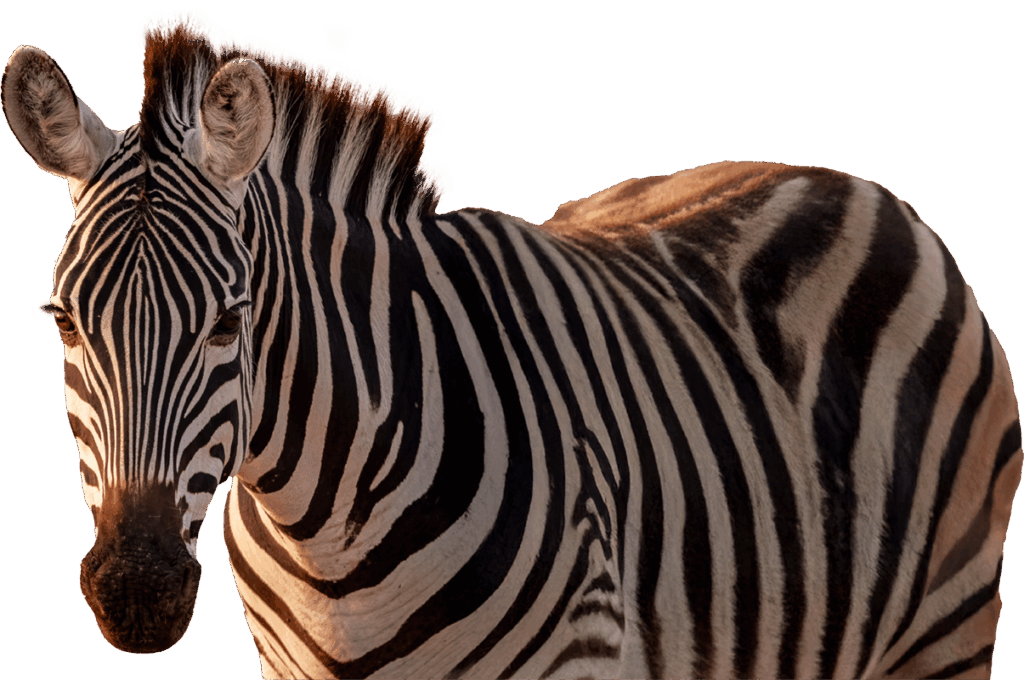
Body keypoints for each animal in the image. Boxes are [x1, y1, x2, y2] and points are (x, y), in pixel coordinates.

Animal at [4, 9, 1022, 680]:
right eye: (62, 321)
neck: (325, 535)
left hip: (947, 626)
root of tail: (848, 178)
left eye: (227, 320)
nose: (136, 593)